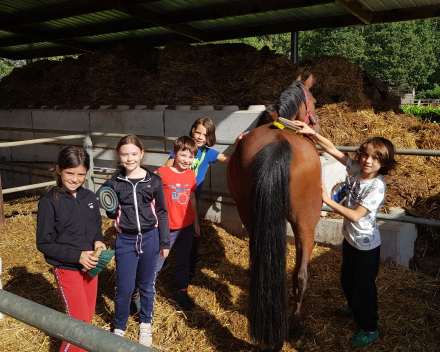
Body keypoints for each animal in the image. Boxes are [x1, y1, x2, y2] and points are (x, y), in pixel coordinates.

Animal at [229, 75, 322, 350]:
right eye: (314, 100)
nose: (315, 122)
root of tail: (279, 146)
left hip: (250, 215)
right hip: (307, 222)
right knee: (301, 275)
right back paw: (295, 328)